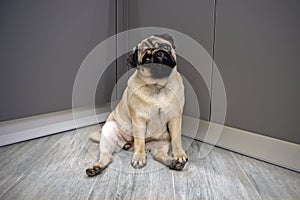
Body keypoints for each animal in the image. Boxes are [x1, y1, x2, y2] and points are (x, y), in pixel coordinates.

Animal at [85, 33, 188, 177]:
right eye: (146, 59)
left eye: (165, 47)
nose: (159, 54)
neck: (158, 87)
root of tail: (127, 144)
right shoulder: (139, 120)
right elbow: (139, 141)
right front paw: (139, 158)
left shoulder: (175, 118)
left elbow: (177, 139)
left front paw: (179, 155)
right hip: (109, 130)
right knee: (107, 156)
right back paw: (96, 167)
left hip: (161, 143)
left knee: (158, 155)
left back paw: (174, 162)